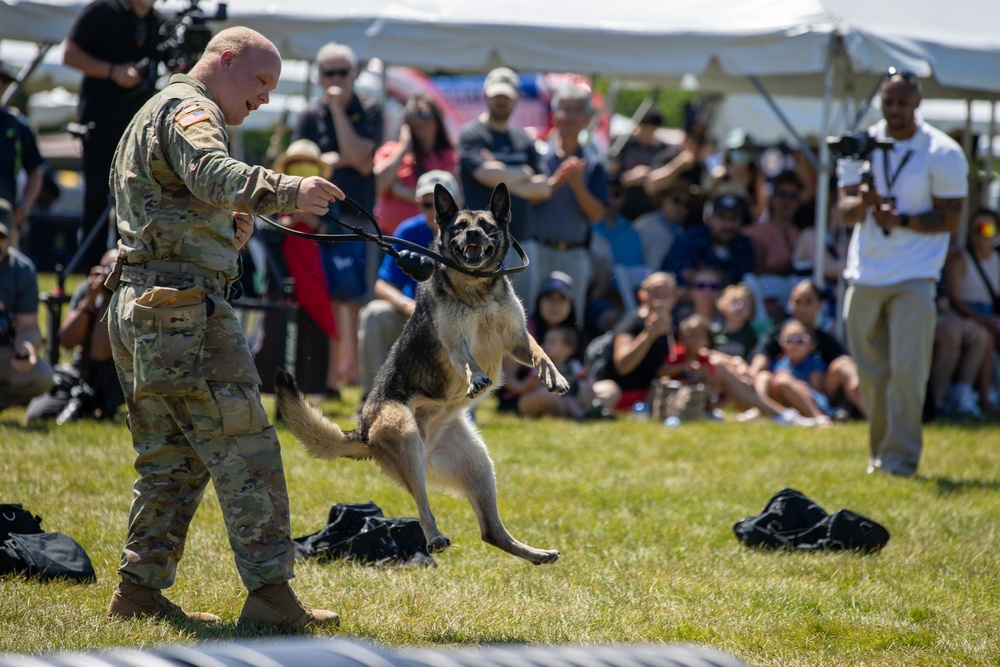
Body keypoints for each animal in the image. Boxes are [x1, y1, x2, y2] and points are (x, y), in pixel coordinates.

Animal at [278, 183, 568, 564]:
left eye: (486, 226)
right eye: (459, 227)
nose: (472, 234)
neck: (476, 289)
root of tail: (363, 431)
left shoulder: (517, 338)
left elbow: (540, 353)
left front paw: (555, 377)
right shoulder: (455, 341)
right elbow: (467, 361)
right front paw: (477, 378)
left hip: (476, 464)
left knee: (491, 531)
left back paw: (535, 553)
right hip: (405, 436)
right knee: (422, 502)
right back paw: (434, 538)